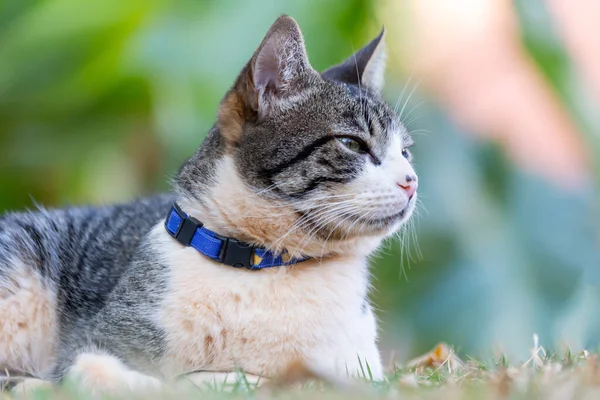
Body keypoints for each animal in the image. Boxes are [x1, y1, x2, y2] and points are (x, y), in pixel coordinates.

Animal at [0, 14, 418, 394]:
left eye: (405, 152)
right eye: (352, 144)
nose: (411, 181)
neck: (266, 264)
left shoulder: (361, 370)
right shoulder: (93, 342)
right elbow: (102, 372)